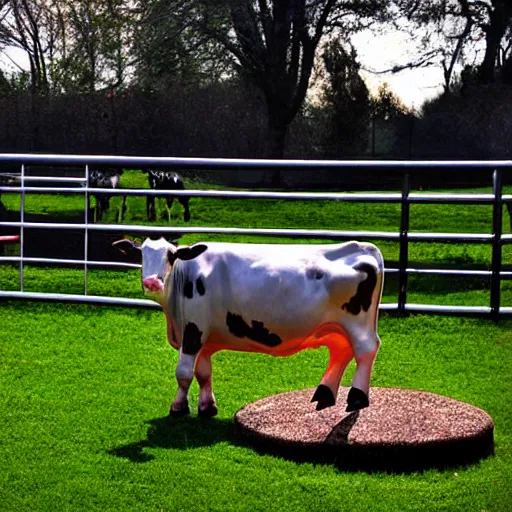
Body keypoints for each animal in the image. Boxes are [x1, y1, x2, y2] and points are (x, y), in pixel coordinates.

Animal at [113, 236, 384, 420]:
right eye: (141, 255)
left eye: (171, 256)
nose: (152, 282)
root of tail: (363, 248)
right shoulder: (204, 337)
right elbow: (204, 373)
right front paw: (207, 407)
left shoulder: (193, 330)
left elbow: (184, 373)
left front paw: (178, 407)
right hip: (336, 326)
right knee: (341, 350)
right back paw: (324, 394)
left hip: (357, 323)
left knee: (366, 349)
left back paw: (357, 398)